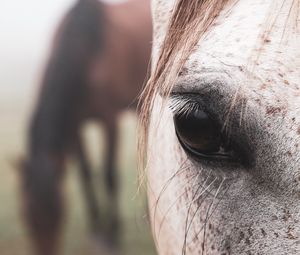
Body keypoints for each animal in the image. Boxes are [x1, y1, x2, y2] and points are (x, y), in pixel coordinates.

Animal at [22, 0, 151, 254]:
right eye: (27, 216)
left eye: (59, 212)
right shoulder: (75, 126)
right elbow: (85, 174)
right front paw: (96, 230)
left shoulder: (109, 120)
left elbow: (109, 174)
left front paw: (112, 235)